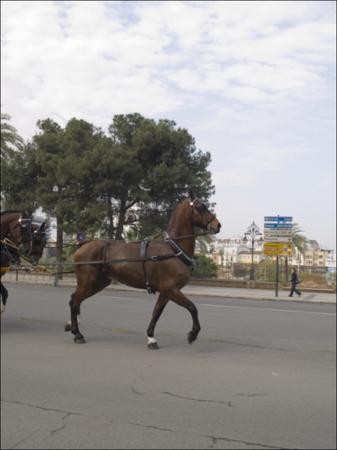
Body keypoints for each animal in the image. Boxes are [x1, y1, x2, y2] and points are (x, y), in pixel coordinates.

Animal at [65, 193, 220, 348]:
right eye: (201, 207)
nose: (217, 225)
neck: (173, 249)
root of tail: (84, 244)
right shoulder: (172, 289)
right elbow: (192, 307)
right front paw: (193, 334)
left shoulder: (165, 292)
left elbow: (156, 313)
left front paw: (151, 337)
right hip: (88, 282)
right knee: (75, 301)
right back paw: (77, 334)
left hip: (98, 283)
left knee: (75, 299)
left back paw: (71, 325)